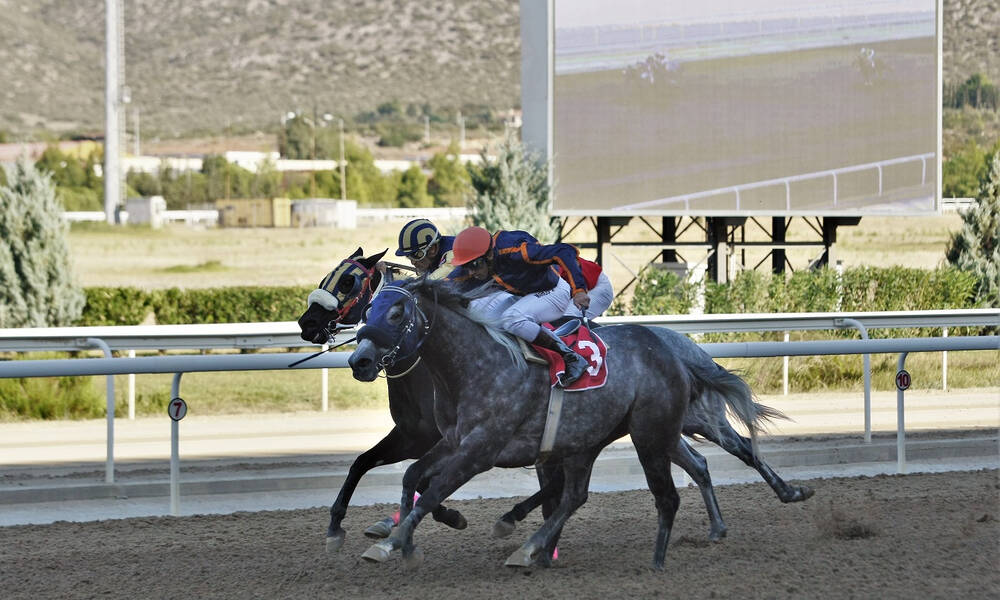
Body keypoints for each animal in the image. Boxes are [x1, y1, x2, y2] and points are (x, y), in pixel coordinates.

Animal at [296, 250, 812, 552]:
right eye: (373, 304)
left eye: (349, 282)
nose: (307, 324)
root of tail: (675, 341)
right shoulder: (431, 437)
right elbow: (377, 467)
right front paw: (362, 527)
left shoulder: (446, 441)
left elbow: (425, 483)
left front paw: (416, 525)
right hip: (658, 428)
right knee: (699, 464)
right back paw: (720, 525)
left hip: (689, 419)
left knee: (739, 447)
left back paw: (789, 492)